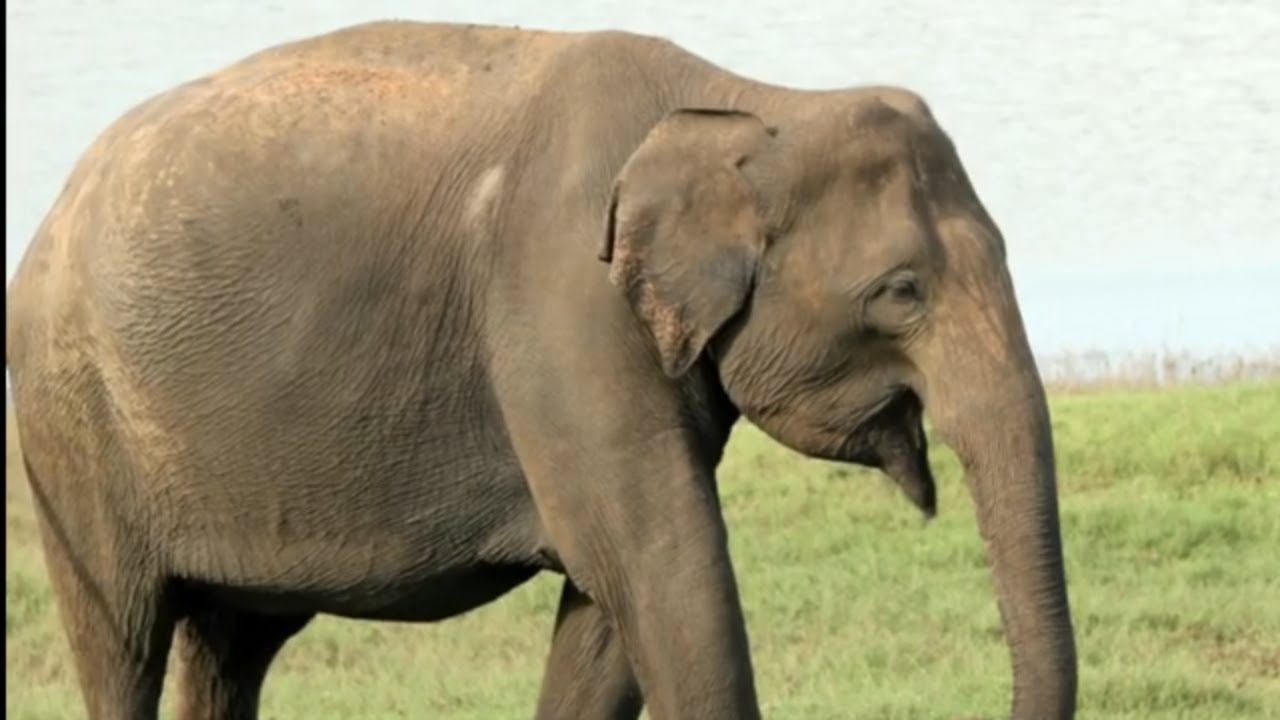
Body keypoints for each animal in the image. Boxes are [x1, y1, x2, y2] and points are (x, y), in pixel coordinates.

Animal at [4, 20, 1077, 720]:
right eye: (901, 292)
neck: (752, 103)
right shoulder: (562, 305)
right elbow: (661, 570)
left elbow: (610, 613)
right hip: (69, 419)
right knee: (123, 638)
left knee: (231, 646)